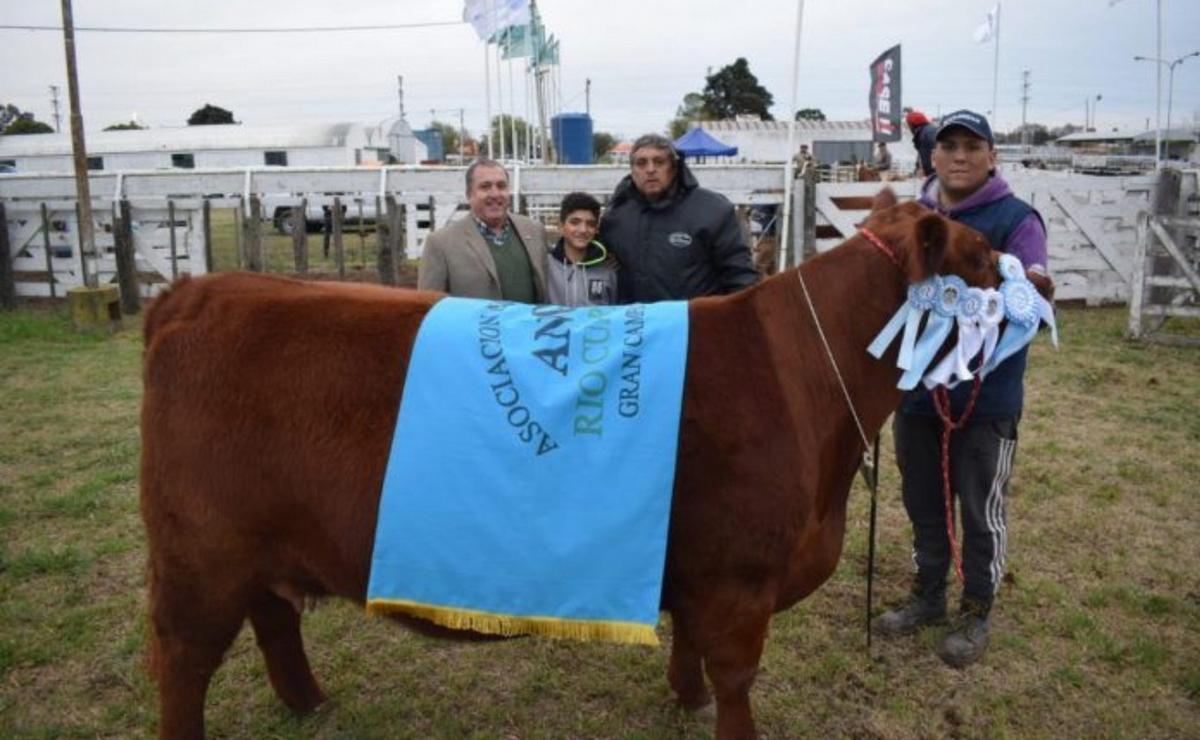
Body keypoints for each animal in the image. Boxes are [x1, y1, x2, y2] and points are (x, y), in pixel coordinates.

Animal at [138, 191, 1003, 738]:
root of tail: (199, 290)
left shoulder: (693, 571)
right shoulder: (738, 581)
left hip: (260, 550)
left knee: (275, 619)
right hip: (198, 555)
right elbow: (735, 679)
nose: (1024, 274)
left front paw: (683, 700)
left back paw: (310, 703)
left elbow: (689, 649)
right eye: (981, 252)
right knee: (183, 662)